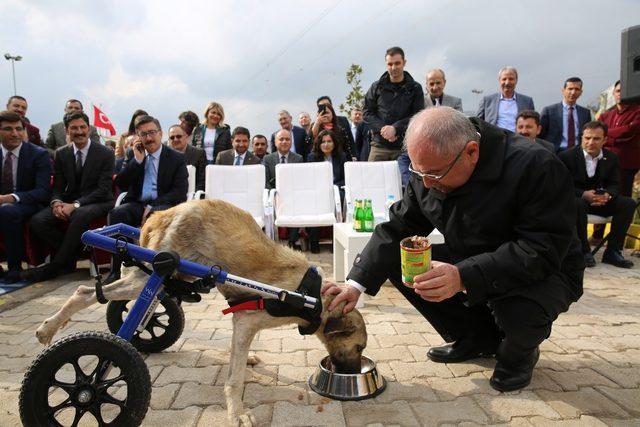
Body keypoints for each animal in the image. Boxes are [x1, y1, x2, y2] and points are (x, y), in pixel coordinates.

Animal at [35, 201, 368, 427]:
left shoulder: (242, 324)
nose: (353, 372)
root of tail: (161, 214)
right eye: (360, 346)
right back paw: (49, 328)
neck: (312, 297)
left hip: (166, 278)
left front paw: (246, 361)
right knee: (86, 292)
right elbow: (235, 378)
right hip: (156, 271)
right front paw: (237, 411)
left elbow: (238, 355)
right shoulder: (246, 322)